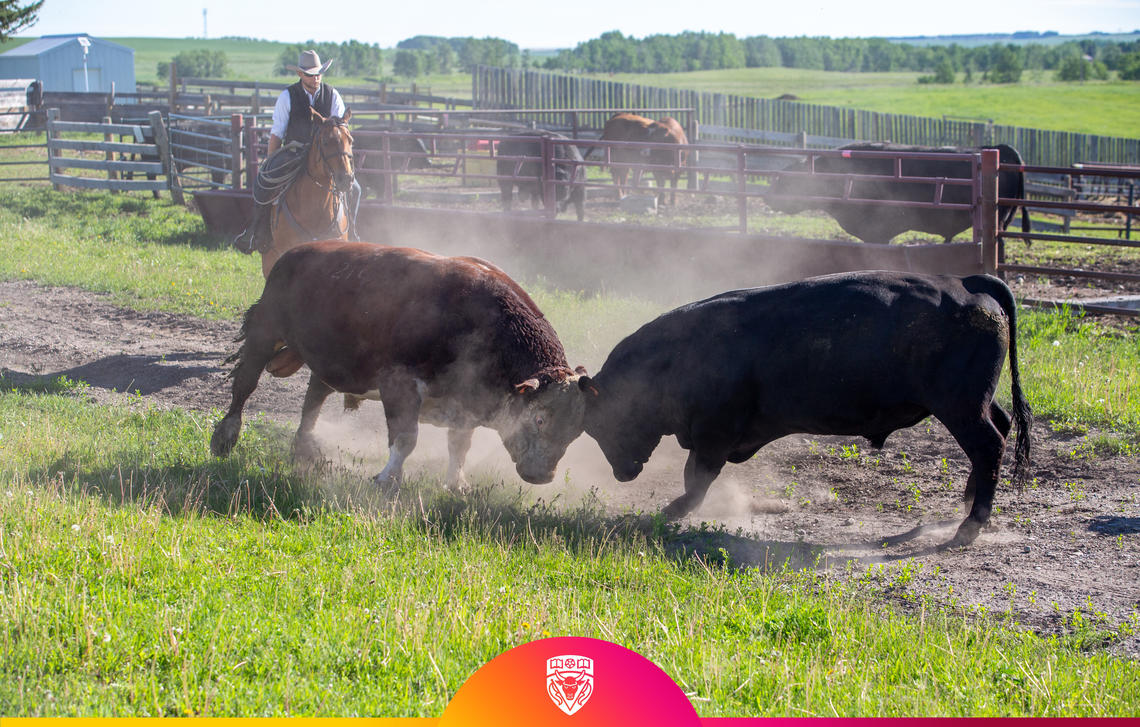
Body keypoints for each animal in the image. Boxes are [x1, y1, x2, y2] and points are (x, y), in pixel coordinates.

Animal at [579, 271, 1035, 549]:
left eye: (603, 424)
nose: (622, 473)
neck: (678, 354)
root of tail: (964, 282)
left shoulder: (714, 435)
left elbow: (696, 481)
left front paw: (667, 513)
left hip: (960, 408)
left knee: (989, 445)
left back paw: (970, 526)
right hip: (974, 404)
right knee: (1000, 427)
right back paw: (969, 502)